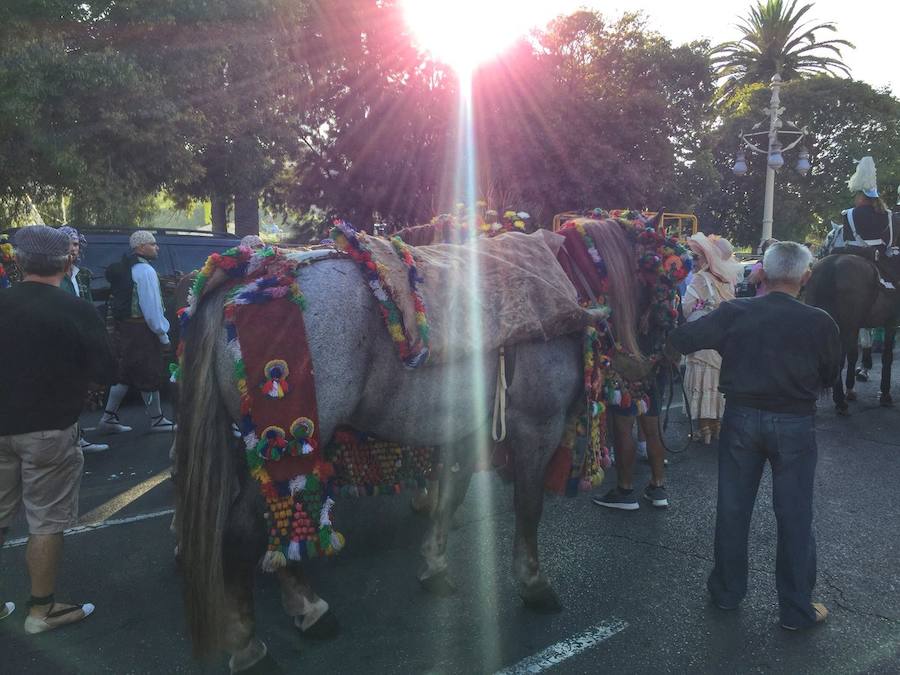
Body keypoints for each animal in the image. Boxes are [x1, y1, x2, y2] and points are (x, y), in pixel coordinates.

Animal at [174, 210, 688, 672]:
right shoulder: (535, 426)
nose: (666, 359)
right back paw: (254, 641)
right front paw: (532, 581)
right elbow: (528, 506)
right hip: (285, 446)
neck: (572, 281)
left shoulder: (468, 427)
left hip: (252, 449)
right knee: (244, 533)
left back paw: (303, 607)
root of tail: (246, 274)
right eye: (668, 284)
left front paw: (434, 565)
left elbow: (452, 495)